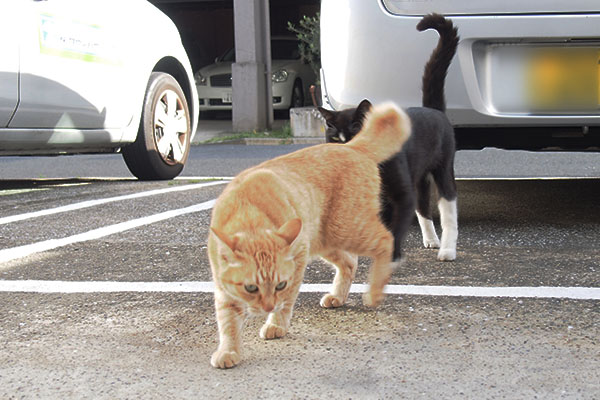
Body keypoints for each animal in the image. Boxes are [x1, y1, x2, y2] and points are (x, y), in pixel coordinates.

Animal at [209, 103, 410, 368]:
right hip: (327, 240)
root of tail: (350, 147)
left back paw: (375, 293)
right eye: (251, 288)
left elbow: (287, 302)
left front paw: (276, 324)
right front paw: (228, 350)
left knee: (387, 240)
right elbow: (227, 321)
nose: (267, 307)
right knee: (350, 262)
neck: (248, 212)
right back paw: (337, 296)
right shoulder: (223, 289)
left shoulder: (298, 262)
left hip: (347, 229)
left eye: (280, 285)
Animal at [322, 12, 458, 260]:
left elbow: (396, 225)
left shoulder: (400, 194)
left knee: (448, 206)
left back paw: (447, 249)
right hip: (419, 176)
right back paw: (431, 240)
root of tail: (433, 110)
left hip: (443, 168)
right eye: (335, 138)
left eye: (357, 131)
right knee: (423, 205)